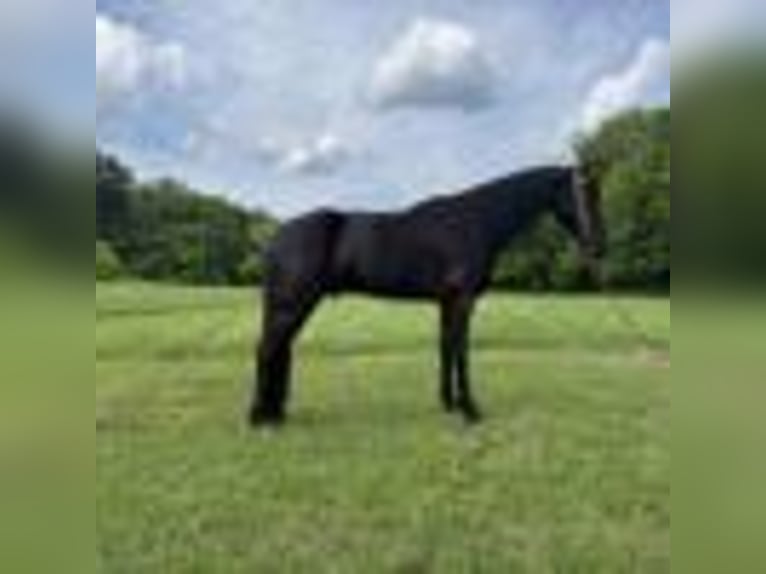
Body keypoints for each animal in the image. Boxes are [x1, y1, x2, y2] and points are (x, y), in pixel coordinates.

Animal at [248, 165, 606, 427]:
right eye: (586, 194)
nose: (599, 247)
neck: (476, 220)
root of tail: (278, 235)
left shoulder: (446, 303)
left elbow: (445, 348)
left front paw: (449, 404)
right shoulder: (462, 301)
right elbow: (461, 352)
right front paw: (471, 411)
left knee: (279, 349)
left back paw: (275, 414)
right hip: (293, 302)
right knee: (268, 350)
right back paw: (259, 418)